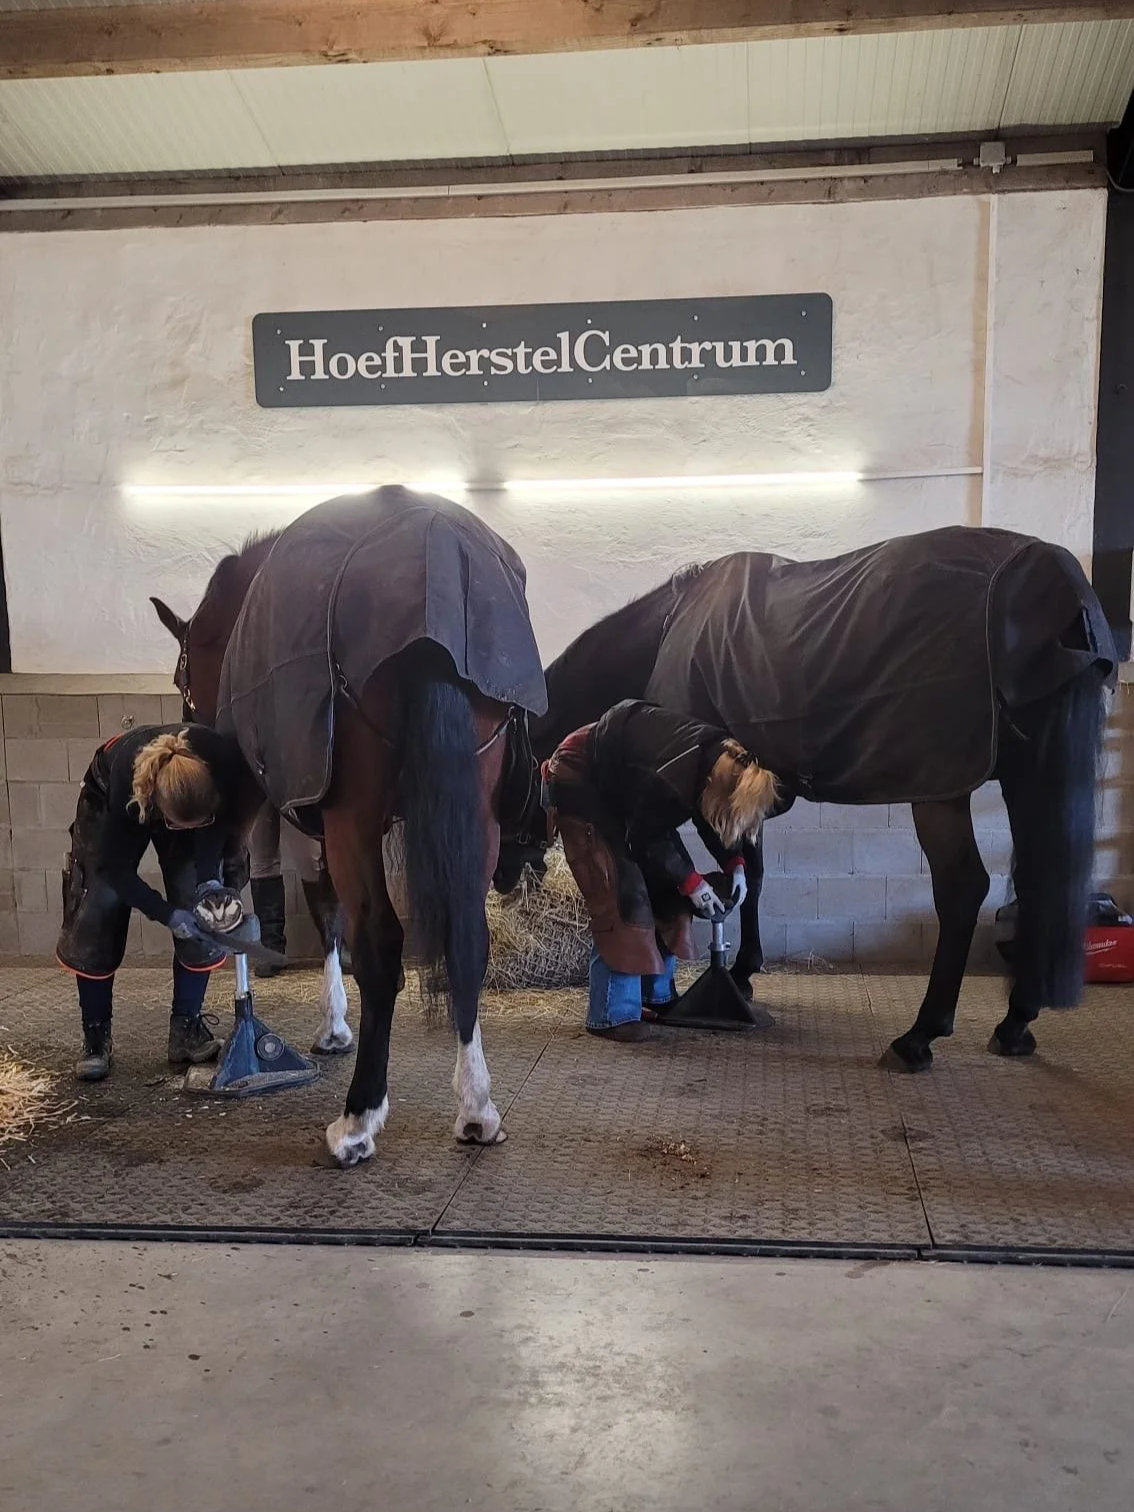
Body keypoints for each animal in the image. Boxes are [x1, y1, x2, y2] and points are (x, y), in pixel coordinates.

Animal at [502, 527, 1116, 1071]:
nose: (504, 882)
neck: (667, 629)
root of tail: (1046, 575)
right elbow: (752, 876)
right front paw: (745, 969)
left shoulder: (705, 795)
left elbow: (733, 870)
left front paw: (738, 970)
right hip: (1027, 776)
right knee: (1037, 880)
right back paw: (1015, 1023)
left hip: (940, 788)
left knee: (964, 889)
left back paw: (919, 1037)